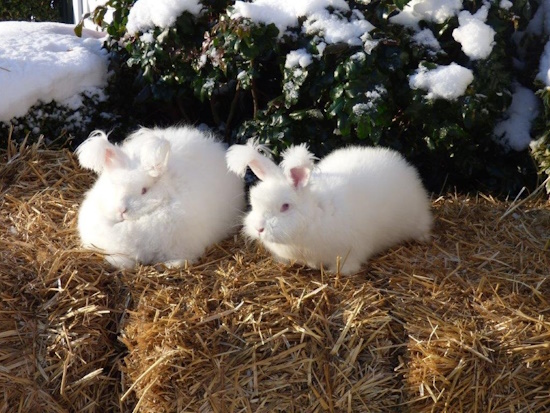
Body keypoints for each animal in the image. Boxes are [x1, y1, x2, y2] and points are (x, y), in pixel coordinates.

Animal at [76, 124, 246, 268]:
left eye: (144, 190)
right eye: (114, 186)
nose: (121, 210)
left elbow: (181, 258)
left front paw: (172, 265)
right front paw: (118, 263)